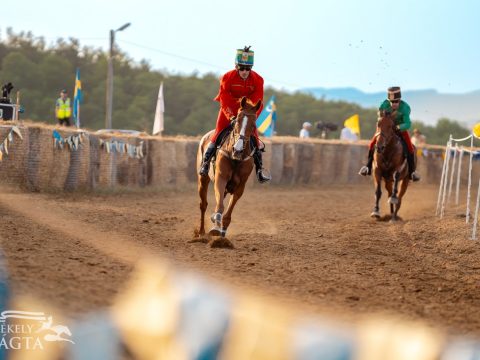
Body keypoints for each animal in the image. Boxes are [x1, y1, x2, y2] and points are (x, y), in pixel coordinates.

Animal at [196, 97, 262, 245]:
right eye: (237, 121)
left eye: (253, 124)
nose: (237, 149)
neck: (236, 158)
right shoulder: (220, 178)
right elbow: (219, 206)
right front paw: (216, 228)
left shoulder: (240, 186)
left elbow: (228, 212)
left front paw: (222, 235)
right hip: (203, 179)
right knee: (203, 205)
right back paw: (201, 232)